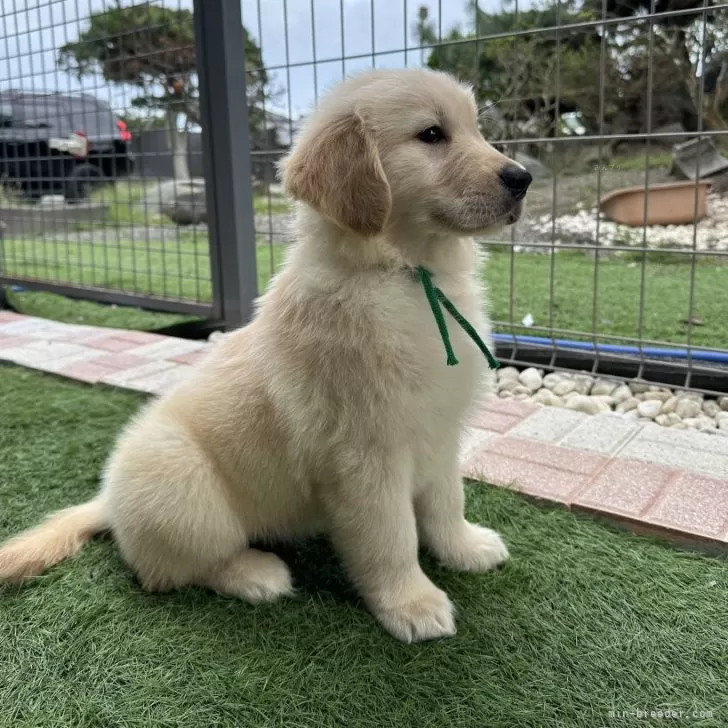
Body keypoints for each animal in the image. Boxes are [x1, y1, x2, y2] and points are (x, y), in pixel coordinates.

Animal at [1, 65, 536, 640]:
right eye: (432, 135)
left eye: (476, 130)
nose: (522, 178)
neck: (406, 277)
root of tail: (107, 503)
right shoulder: (364, 454)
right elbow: (390, 536)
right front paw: (411, 603)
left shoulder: (438, 430)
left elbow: (445, 500)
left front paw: (464, 548)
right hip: (184, 485)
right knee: (167, 571)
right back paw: (256, 574)